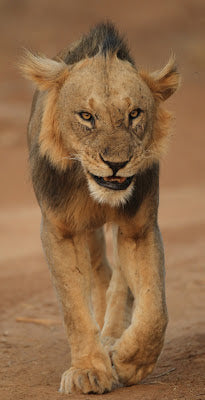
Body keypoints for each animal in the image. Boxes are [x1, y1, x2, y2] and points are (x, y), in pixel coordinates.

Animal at [19, 22, 179, 394]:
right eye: (86, 117)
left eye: (134, 114)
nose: (116, 164)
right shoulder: (60, 230)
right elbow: (74, 310)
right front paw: (89, 371)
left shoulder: (139, 228)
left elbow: (155, 309)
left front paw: (131, 361)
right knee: (100, 272)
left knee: (120, 282)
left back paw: (113, 339)